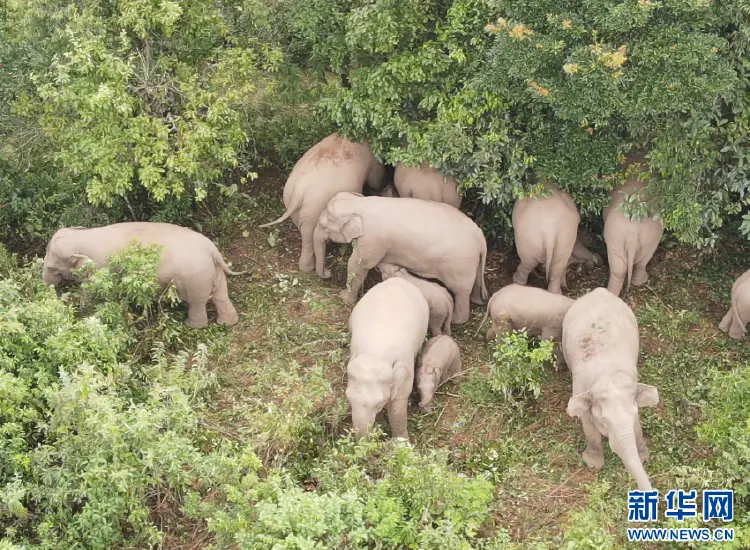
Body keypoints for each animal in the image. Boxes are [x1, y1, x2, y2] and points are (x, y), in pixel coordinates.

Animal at [42, 223, 244, 330]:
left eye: (52, 268)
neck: (83, 235)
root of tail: (212, 250)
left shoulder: (99, 270)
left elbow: (93, 295)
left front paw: (84, 316)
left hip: (194, 278)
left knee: (197, 302)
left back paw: (191, 325)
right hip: (213, 272)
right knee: (220, 295)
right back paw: (227, 323)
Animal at [260, 133, 388, 272]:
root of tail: (299, 190)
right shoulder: (372, 158)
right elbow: (375, 179)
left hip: (294, 204)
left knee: (305, 233)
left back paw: (306, 267)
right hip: (314, 208)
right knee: (309, 233)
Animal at [314, 193, 490, 326]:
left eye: (324, 226)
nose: (327, 272)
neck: (360, 203)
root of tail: (480, 238)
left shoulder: (372, 239)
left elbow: (358, 265)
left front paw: (344, 297)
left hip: (459, 264)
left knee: (461, 292)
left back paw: (456, 321)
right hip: (473, 261)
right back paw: (477, 301)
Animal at [346, 278, 428, 442]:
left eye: (378, 404)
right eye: (348, 398)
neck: (376, 353)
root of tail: (399, 279)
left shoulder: (405, 366)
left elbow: (398, 405)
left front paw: (401, 443)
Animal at [568, 288, 660, 492]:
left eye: (634, 414)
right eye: (604, 421)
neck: (607, 373)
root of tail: (599, 290)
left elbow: (637, 426)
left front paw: (643, 457)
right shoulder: (580, 388)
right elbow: (588, 424)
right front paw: (593, 464)